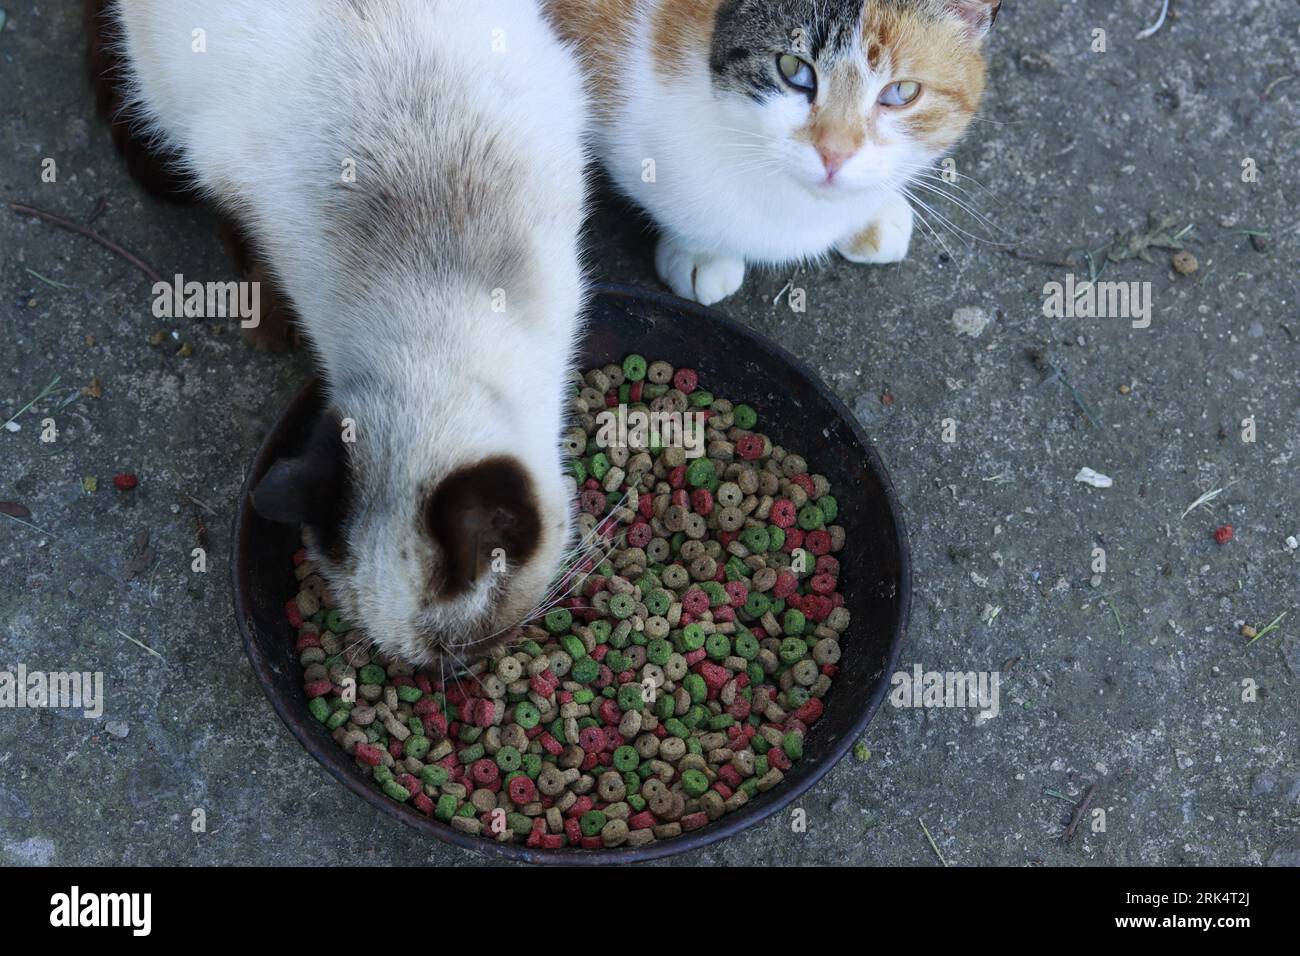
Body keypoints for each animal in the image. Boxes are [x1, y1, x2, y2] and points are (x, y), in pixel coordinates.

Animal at [94, 0, 592, 671]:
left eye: (480, 639)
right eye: (457, 651)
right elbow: (247, 244)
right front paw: (266, 317)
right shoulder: (235, 185)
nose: (470, 668)